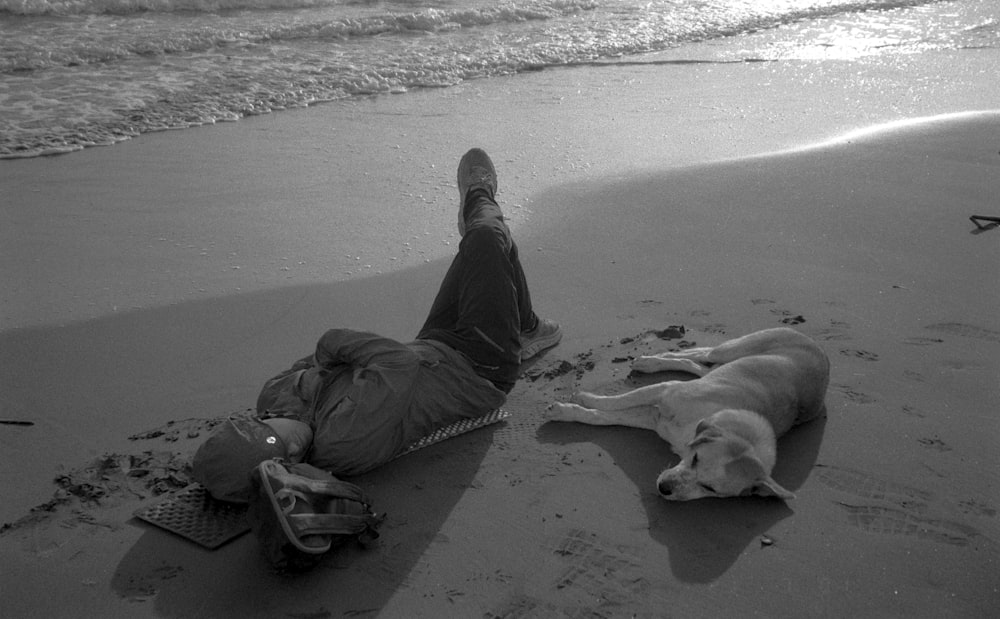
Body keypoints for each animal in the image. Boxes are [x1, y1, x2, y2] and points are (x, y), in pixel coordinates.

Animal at [548, 330, 828, 498]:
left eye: (709, 489)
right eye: (695, 459)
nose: (664, 489)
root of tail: (818, 346)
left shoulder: (655, 419)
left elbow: (605, 416)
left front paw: (573, 409)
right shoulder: (664, 391)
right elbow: (614, 403)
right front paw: (579, 401)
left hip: (723, 366)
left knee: (702, 365)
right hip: (732, 349)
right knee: (701, 352)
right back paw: (652, 359)